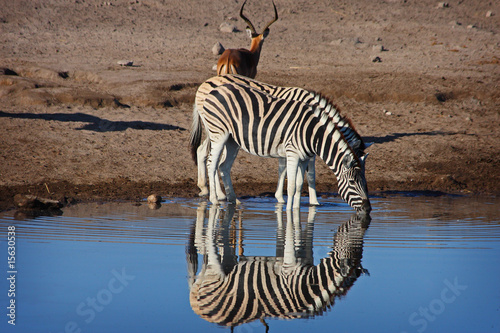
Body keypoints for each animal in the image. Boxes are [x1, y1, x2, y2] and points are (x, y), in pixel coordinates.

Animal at [189, 78, 370, 210]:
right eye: (352, 183)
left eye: (365, 181)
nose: (368, 208)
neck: (311, 131)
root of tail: (211, 86)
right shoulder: (293, 152)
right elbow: (298, 180)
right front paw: (299, 205)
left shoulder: (302, 154)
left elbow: (298, 182)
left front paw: (296, 207)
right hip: (218, 133)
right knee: (212, 163)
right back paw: (215, 198)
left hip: (231, 139)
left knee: (220, 164)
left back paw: (233, 200)